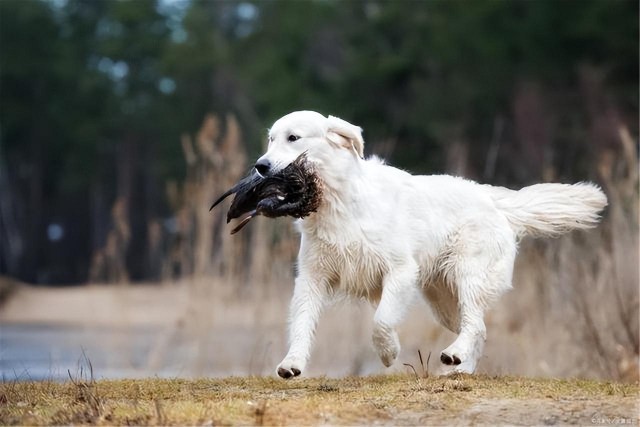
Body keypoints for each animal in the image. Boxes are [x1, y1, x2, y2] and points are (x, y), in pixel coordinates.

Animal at [252, 110, 608, 378]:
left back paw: (454, 356)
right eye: (271, 139)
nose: (260, 166)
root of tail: (493, 199)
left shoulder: (399, 271)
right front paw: (292, 364)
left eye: (294, 138)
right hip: (443, 301)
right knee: (478, 327)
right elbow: (302, 323)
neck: (337, 204)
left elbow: (381, 321)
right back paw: (461, 369)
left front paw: (389, 352)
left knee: (475, 324)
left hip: (467, 276)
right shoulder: (312, 277)